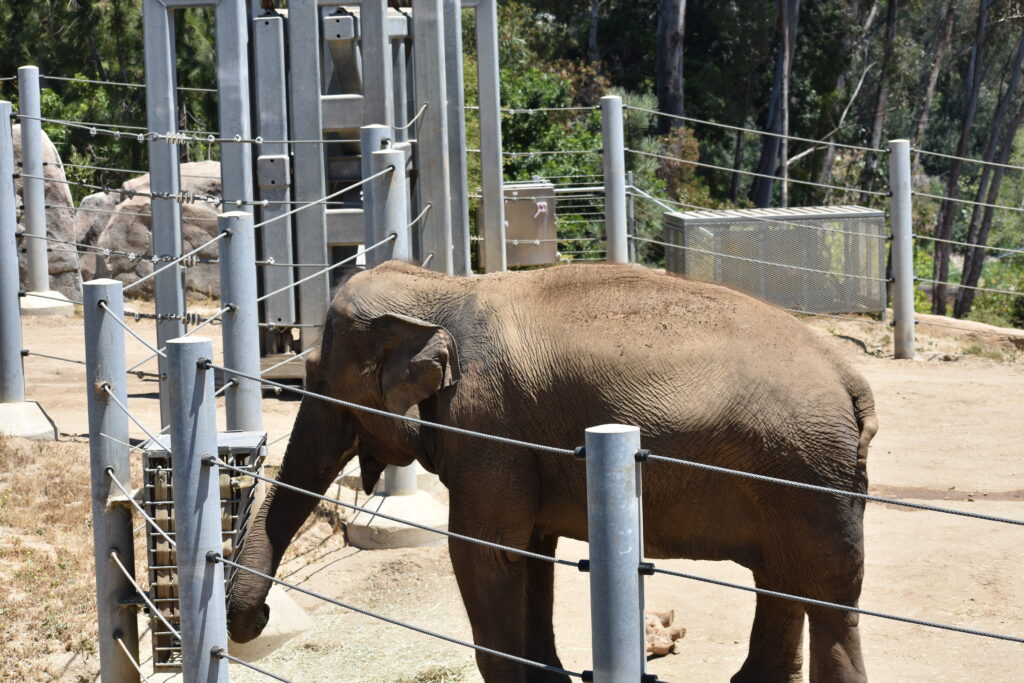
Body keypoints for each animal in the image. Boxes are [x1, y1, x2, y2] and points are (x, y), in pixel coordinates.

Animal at [228, 262, 876, 683]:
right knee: (783, 578)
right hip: (804, 474)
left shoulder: (488, 423)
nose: (259, 618)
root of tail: (850, 377)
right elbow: (531, 551)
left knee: (828, 593)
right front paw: (551, 678)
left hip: (807, 473)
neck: (445, 290)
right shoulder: (520, 443)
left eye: (317, 378)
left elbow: (485, 550)